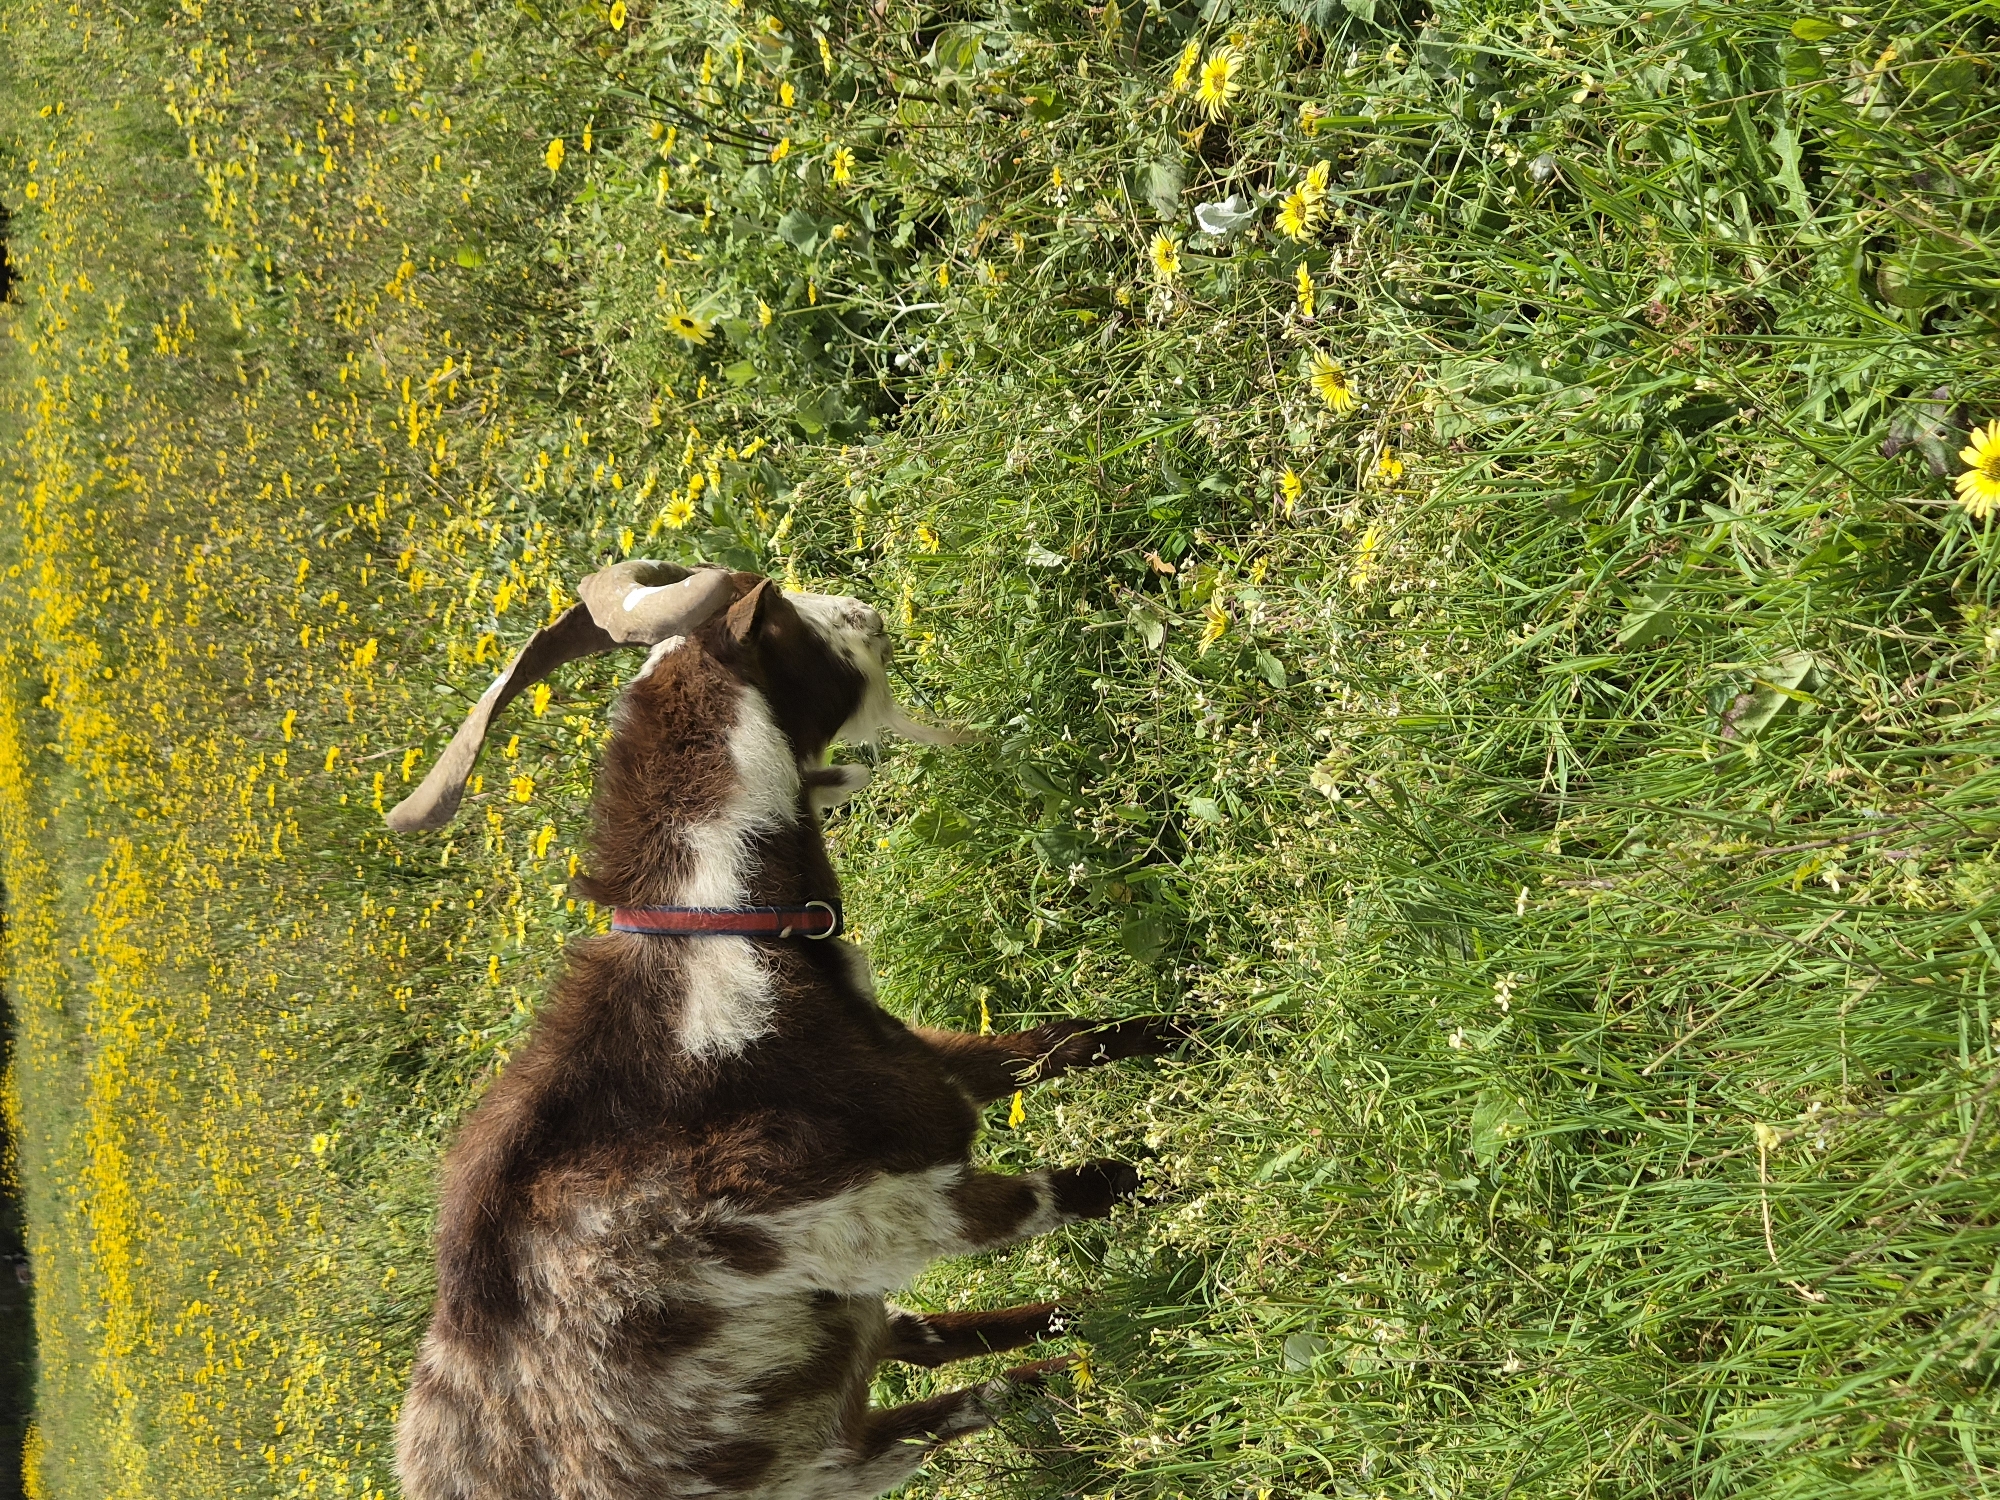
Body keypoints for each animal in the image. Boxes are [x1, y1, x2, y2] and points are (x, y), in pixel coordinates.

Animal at [385, 561, 1176, 1500]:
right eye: (783, 617)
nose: (867, 613)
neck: (709, 959)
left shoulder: (911, 1064)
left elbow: (1059, 1044)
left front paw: (1196, 1032)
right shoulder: (888, 1213)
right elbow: (1085, 1186)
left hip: (819, 1350)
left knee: (912, 1345)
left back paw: (1081, 1337)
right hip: (810, 1454)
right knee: (924, 1413)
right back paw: (1079, 1363)